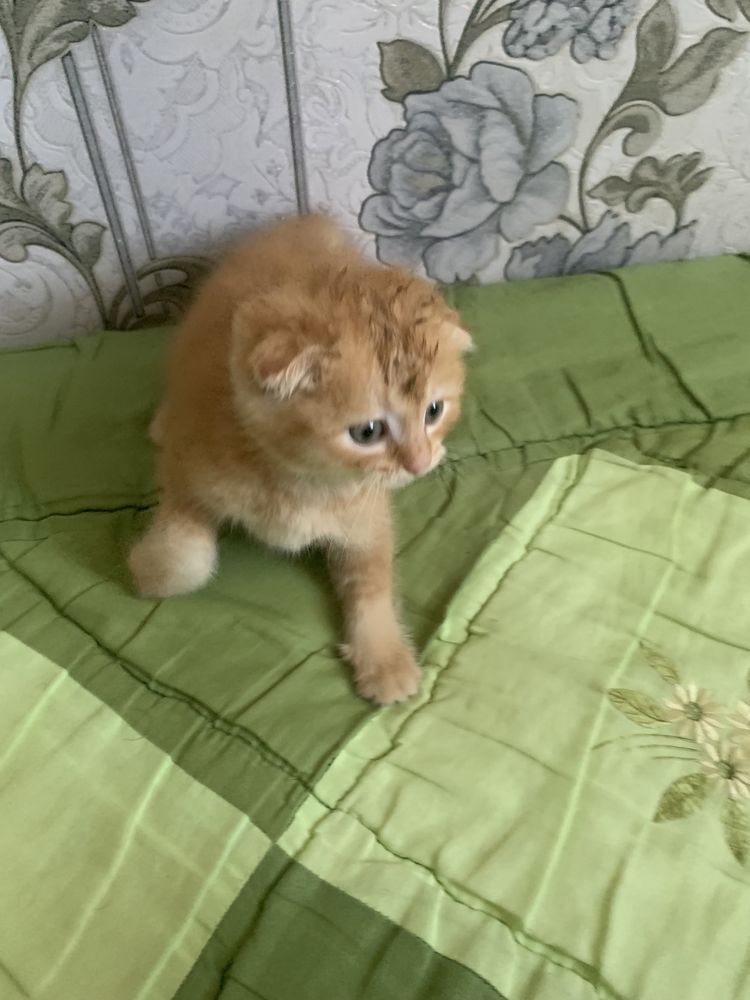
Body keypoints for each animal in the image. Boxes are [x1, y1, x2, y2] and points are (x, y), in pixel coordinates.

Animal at [129, 216, 470, 708]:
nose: (421, 462)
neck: (303, 481)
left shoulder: (368, 517)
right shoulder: (185, 469)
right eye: (368, 432)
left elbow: (372, 582)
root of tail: (303, 220)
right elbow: (183, 562)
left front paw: (384, 658)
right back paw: (161, 420)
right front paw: (148, 566)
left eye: (434, 411)